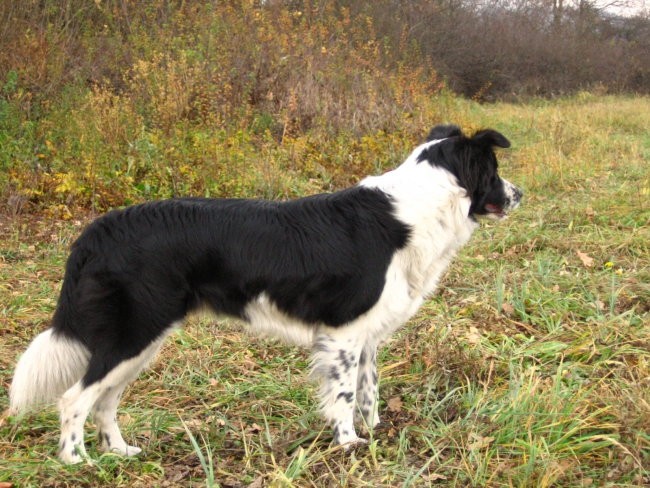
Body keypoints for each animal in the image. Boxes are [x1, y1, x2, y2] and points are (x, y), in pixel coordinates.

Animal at [10, 124, 520, 464]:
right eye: (495, 171)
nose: (520, 194)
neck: (415, 209)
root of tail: (97, 232)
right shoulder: (343, 333)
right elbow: (344, 395)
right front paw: (348, 444)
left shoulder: (367, 336)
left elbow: (369, 392)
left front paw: (376, 435)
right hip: (132, 334)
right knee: (74, 399)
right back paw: (77, 462)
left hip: (141, 342)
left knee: (105, 400)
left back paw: (119, 452)